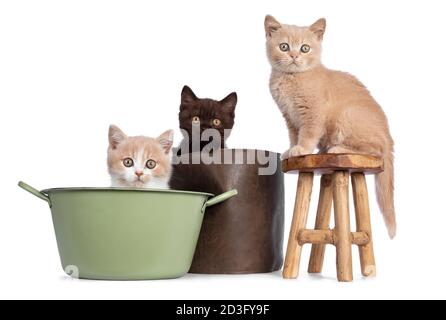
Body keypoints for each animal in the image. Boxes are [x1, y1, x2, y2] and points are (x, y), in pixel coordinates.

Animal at [264, 16, 396, 239]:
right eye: (284, 46)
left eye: (305, 48)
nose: (294, 55)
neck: (292, 77)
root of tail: (388, 137)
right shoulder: (289, 117)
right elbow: (294, 135)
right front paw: (292, 150)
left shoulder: (313, 112)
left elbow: (308, 134)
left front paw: (302, 149)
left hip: (347, 114)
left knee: (374, 150)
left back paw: (338, 148)